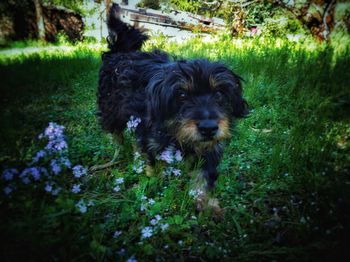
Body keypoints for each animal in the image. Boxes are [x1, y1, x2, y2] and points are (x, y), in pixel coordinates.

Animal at [97, 3, 247, 213]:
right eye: (181, 95)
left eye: (219, 94)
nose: (208, 128)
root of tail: (121, 52)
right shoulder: (147, 136)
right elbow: (152, 163)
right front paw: (154, 182)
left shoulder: (210, 149)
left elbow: (204, 177)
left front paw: (206, 204)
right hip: (111, 110)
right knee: (115, 133)